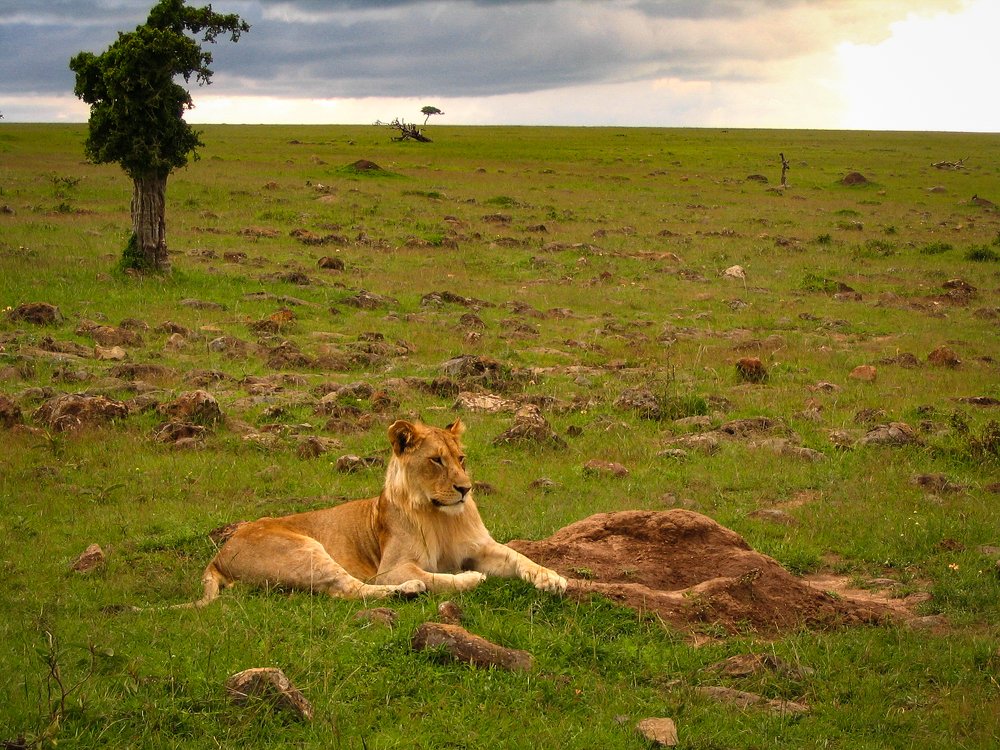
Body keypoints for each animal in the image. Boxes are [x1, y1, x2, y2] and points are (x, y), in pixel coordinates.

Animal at [175, 418, 567, 607]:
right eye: (436, 460)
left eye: (461, 459)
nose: (465, 489)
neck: (439, 516)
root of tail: (219, 553)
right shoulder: (391, 566)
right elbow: (436, 576)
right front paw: (466, 577)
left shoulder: (482, 547)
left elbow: (519, 557)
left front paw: (553, 578)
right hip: (304, 551)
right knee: (348, 589)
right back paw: (412, 589)